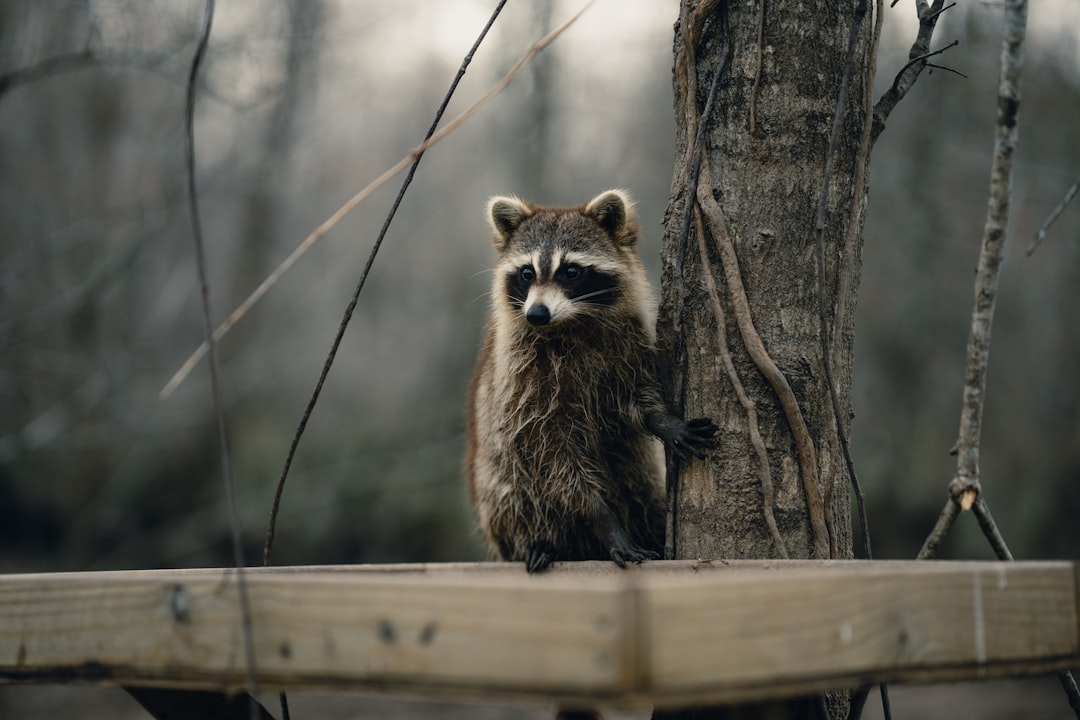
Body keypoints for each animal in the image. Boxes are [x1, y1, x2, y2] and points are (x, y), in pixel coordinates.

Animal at [464, 189, 717, 574]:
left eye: (571, 271)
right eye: (527, 272)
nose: (536, 314)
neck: (571, 322)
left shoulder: (628, 345)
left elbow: (638, 394)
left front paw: (662, 421)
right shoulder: (525, 381)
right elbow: (553, 458)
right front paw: (603, 518)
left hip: (639, 475)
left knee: (642, 492)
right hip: (497, 485)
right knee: (514, 495)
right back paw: (544, 544)